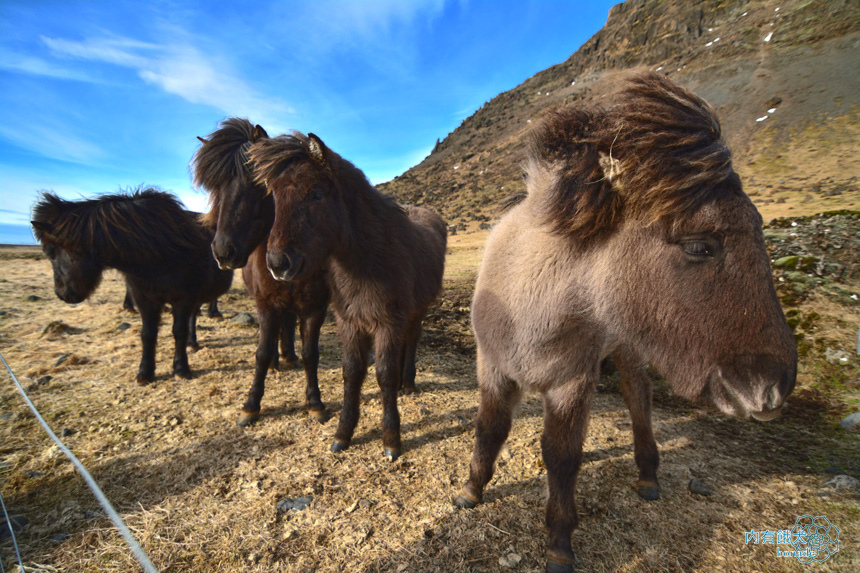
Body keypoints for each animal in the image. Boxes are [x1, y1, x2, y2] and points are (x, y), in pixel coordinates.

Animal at [30, 189, 233, 384]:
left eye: (49, 251)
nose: (62, 294)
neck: (160, 254)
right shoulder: (144, 299)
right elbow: (148, 333)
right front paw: (145, 373)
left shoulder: (183, 299)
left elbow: (178, 331)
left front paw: (181, 369)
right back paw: (192, 343)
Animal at [191, 118, 330, 424]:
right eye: (214, 188)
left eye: (257, 183)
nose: (222, 252)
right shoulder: (266, 304)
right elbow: (262, 353)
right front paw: (251, 405)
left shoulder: (315, 306)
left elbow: (310, 353)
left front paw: (315, 402)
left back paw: (288, 355)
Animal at [249, 131, 446, 460]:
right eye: (274, 197)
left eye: (316, 194)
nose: (277, 264)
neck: (367, 262)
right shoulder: (350, 322)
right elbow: (352, 373)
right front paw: (343, 433)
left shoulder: (387, 323)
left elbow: (384, 374)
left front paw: (391, 439)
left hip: (417, 311)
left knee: (413, 339)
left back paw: (408, 382)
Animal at [454, 72, 796, 572]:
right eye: (699, 246)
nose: (775, 384)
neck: (530, 302)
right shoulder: (492, 368)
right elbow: (491, 427)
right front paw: (471, 490)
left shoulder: (571, 380)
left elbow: (561, 454)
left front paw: (559, 541)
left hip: (628, 349)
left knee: (639, 400)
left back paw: (648, 476)